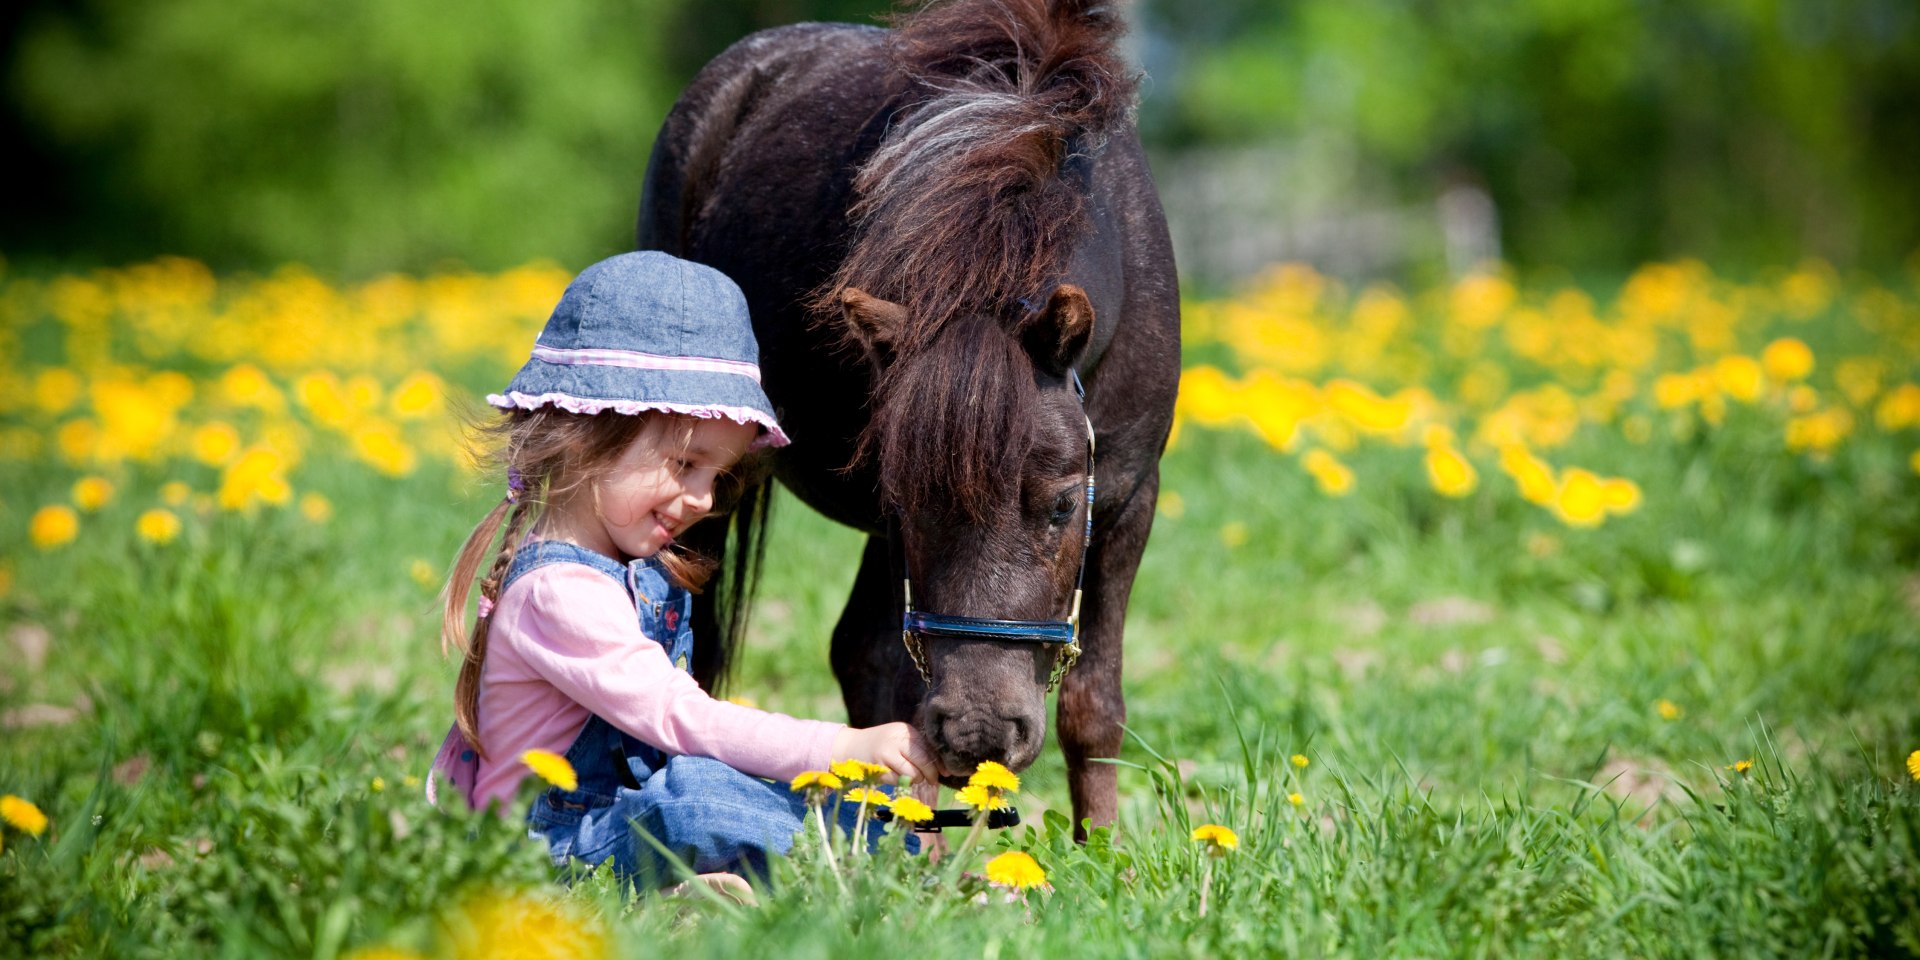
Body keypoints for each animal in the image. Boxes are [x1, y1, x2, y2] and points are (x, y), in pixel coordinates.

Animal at [637, 0, 1175, 833]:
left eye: (1061, 508)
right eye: (911, 504)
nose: (981, 733)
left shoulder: (1127, 497)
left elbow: (1094, 708)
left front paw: (1105, 851)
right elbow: (900, 689)